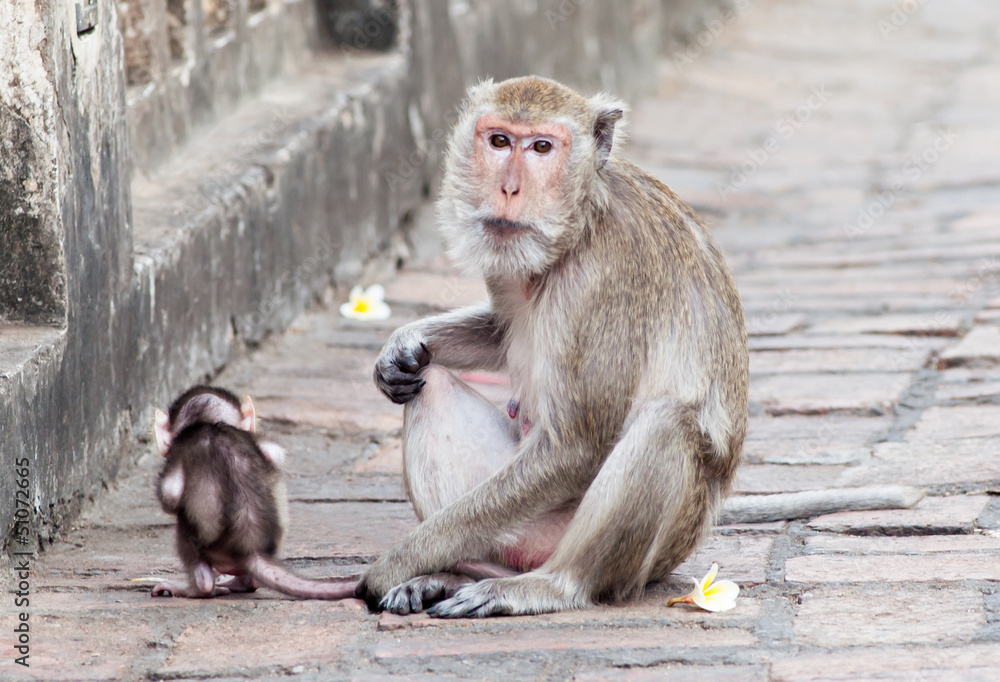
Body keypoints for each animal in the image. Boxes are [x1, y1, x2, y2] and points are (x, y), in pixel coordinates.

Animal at [150, 385, 357, 600]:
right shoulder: (262, 445)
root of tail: (251, 550)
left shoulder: (178, 454)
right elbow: (275, 454)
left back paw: (196, 587)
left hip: (210, 549)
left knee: (185, 531)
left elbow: (170, 494)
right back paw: (242, 582)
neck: (210, 424)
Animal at [355, 76, 924, 618]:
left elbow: (576, 446)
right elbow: (500, 332)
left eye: (541, 147)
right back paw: (450, 572)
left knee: (666, 426)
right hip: (513, 530)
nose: (509, 188)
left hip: (628, 545)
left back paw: (550, 586)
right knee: (430, 388)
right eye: (498, 141)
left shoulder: (606, 279)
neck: (577, 227)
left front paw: (395, 563)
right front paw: (403, 346)